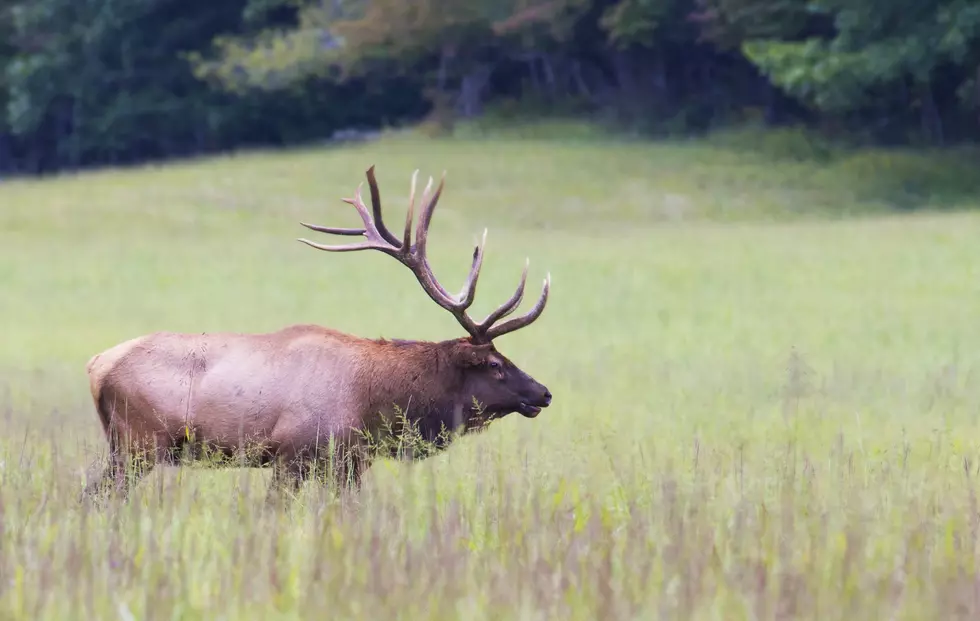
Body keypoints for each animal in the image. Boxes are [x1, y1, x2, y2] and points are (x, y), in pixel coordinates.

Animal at [81, 165, 552, 503]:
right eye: (494, 364)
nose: (544, 392)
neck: (374, 402)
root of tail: (96, 365)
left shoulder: (349, 462)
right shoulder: (293, 454)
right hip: (139, 443)